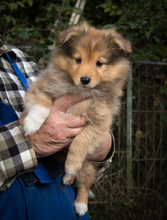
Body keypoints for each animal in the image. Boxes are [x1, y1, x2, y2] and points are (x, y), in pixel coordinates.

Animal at [22, 21, 132, 216]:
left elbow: (79, 141)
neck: (80, 91)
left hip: (88, 165)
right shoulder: (42, 86)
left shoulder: (100, 123)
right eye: (78, 59)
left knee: (84, 184)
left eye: (99, 63)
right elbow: (42, 104)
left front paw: (71, 166)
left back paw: (79, 200)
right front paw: (32, 123)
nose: (85, 80)